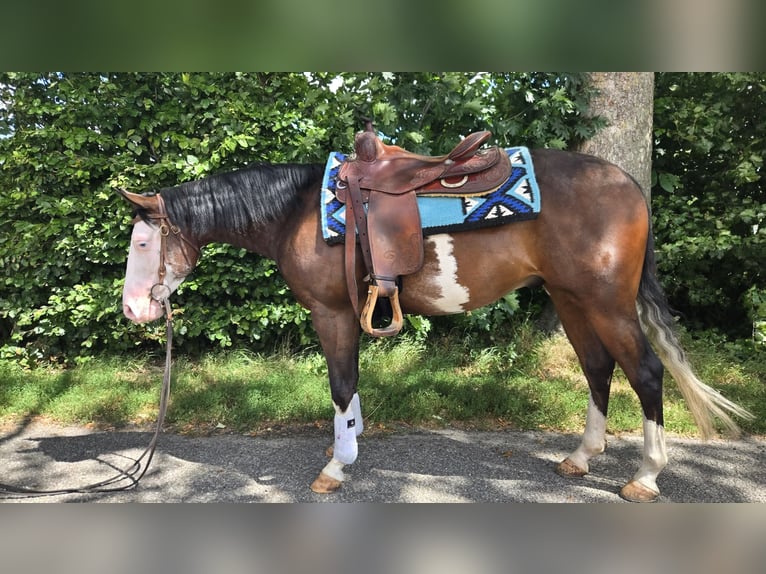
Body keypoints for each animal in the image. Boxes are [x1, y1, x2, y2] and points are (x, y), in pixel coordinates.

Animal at [119, 146, 752, 503]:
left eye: (144, 243)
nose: (132, 310)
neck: (296, 211)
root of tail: (630, 184)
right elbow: (351, 389)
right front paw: (352, 440)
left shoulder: (332, 313)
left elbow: (340, 384)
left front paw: (336, 466)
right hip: (573, 299)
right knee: (598, 368)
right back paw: (581, 457)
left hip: (608, 302)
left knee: (645, 372)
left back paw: (646, 476)